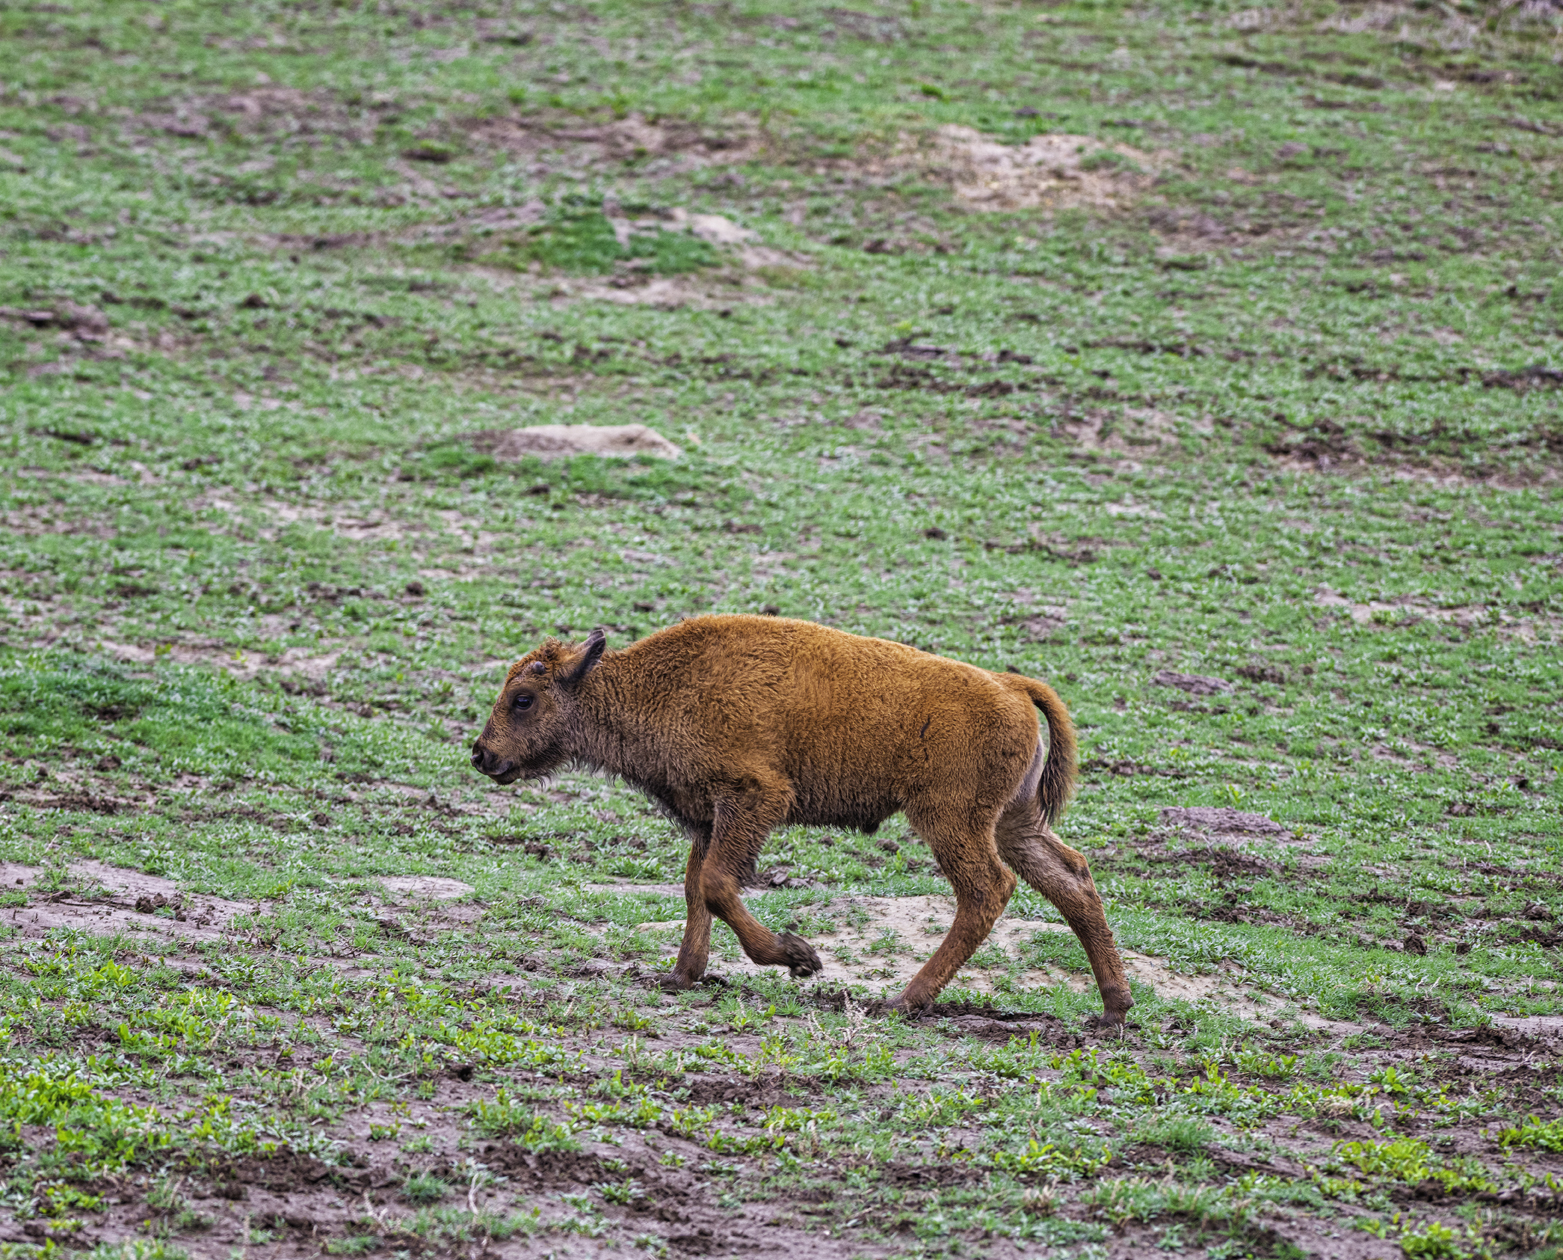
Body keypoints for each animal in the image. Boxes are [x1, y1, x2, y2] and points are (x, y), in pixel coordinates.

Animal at [468, 615, 1131, 1019]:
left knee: (987, 891)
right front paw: (681, 975)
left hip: (950, 821)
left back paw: (903, 1001)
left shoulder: (754, 797)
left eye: (523, 699)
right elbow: (696, 888)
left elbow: (715, 885)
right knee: (1072, 879)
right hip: (1013, 822)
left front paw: (799, 957)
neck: (657, 685)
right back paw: (1114, 1007)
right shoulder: (709, 817)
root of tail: (1012, 687)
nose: (482, 754)